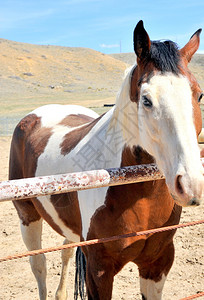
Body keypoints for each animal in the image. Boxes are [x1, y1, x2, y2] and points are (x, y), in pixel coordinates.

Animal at [8, 21, 203, 300]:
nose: (190, 185)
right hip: (27, 216)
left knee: (66, 251)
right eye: (146, 100)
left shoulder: (158, 263)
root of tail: (36, 115)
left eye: (198, 95)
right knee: (39, 266)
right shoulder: (99, 270)